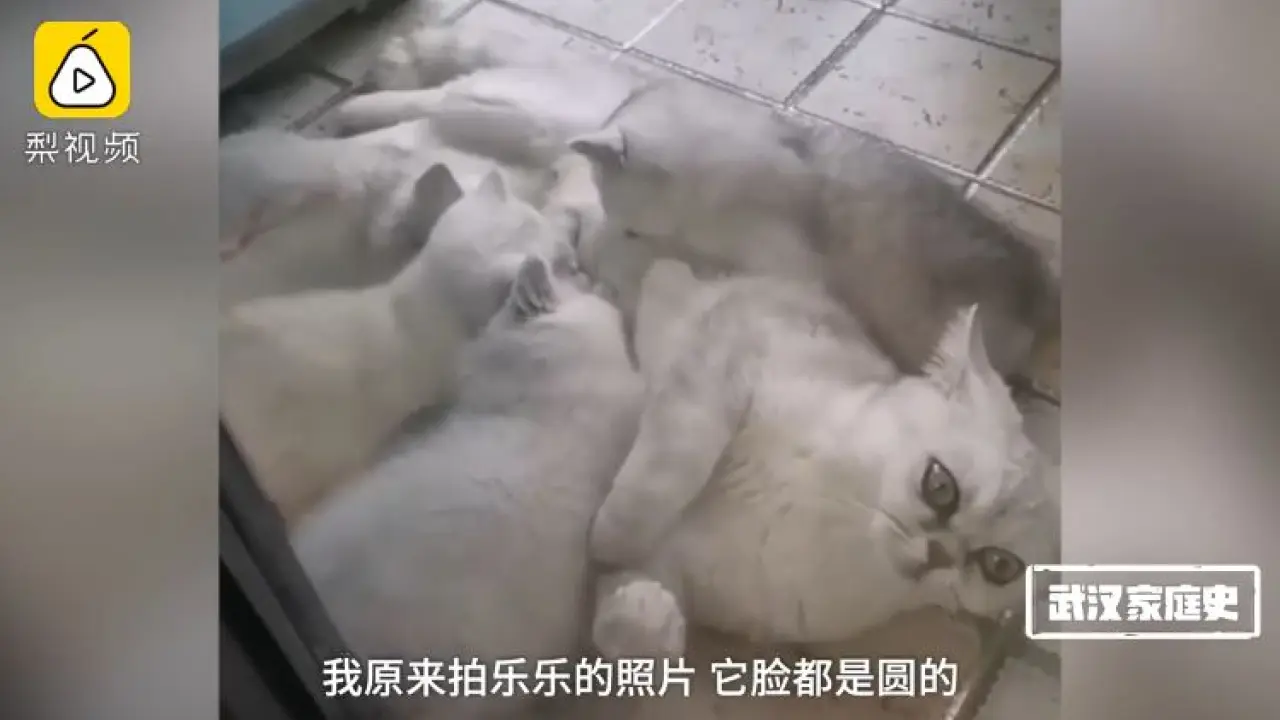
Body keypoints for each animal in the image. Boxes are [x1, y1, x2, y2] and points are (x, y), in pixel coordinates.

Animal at [587, 259, 1058, 659]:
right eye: (940, 485)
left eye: (1000, 566)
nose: (939, 556)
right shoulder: (736, 351)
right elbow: (671, 467)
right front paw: (611, 539)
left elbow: (641, 629)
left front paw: (640, 612)